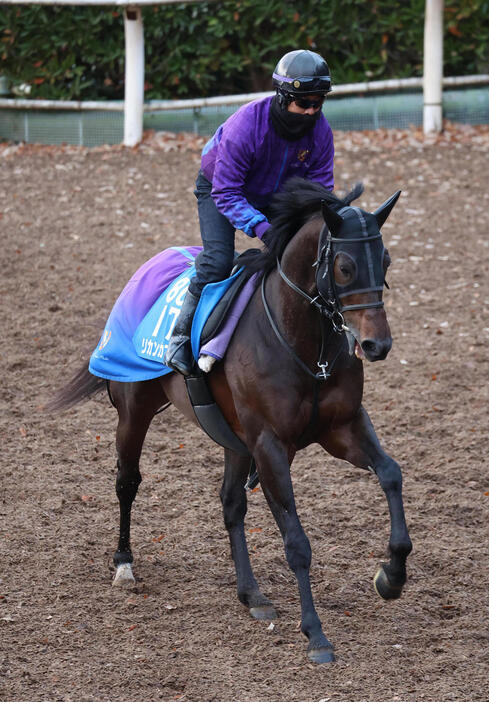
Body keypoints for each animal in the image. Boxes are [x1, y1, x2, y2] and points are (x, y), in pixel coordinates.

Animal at [51, 180, 412, 664]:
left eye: (386, 259)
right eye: (345, 266)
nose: (377, 344)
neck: (305, 345)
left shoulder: (342, 427)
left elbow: (390, 473)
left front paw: (391, 575)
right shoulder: (271, 444)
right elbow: (296, 542)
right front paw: (315, 634)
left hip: (234, 438)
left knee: (230, 502)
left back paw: (250, 593)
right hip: (135, 409)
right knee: (127, 482)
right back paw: (124, 562)